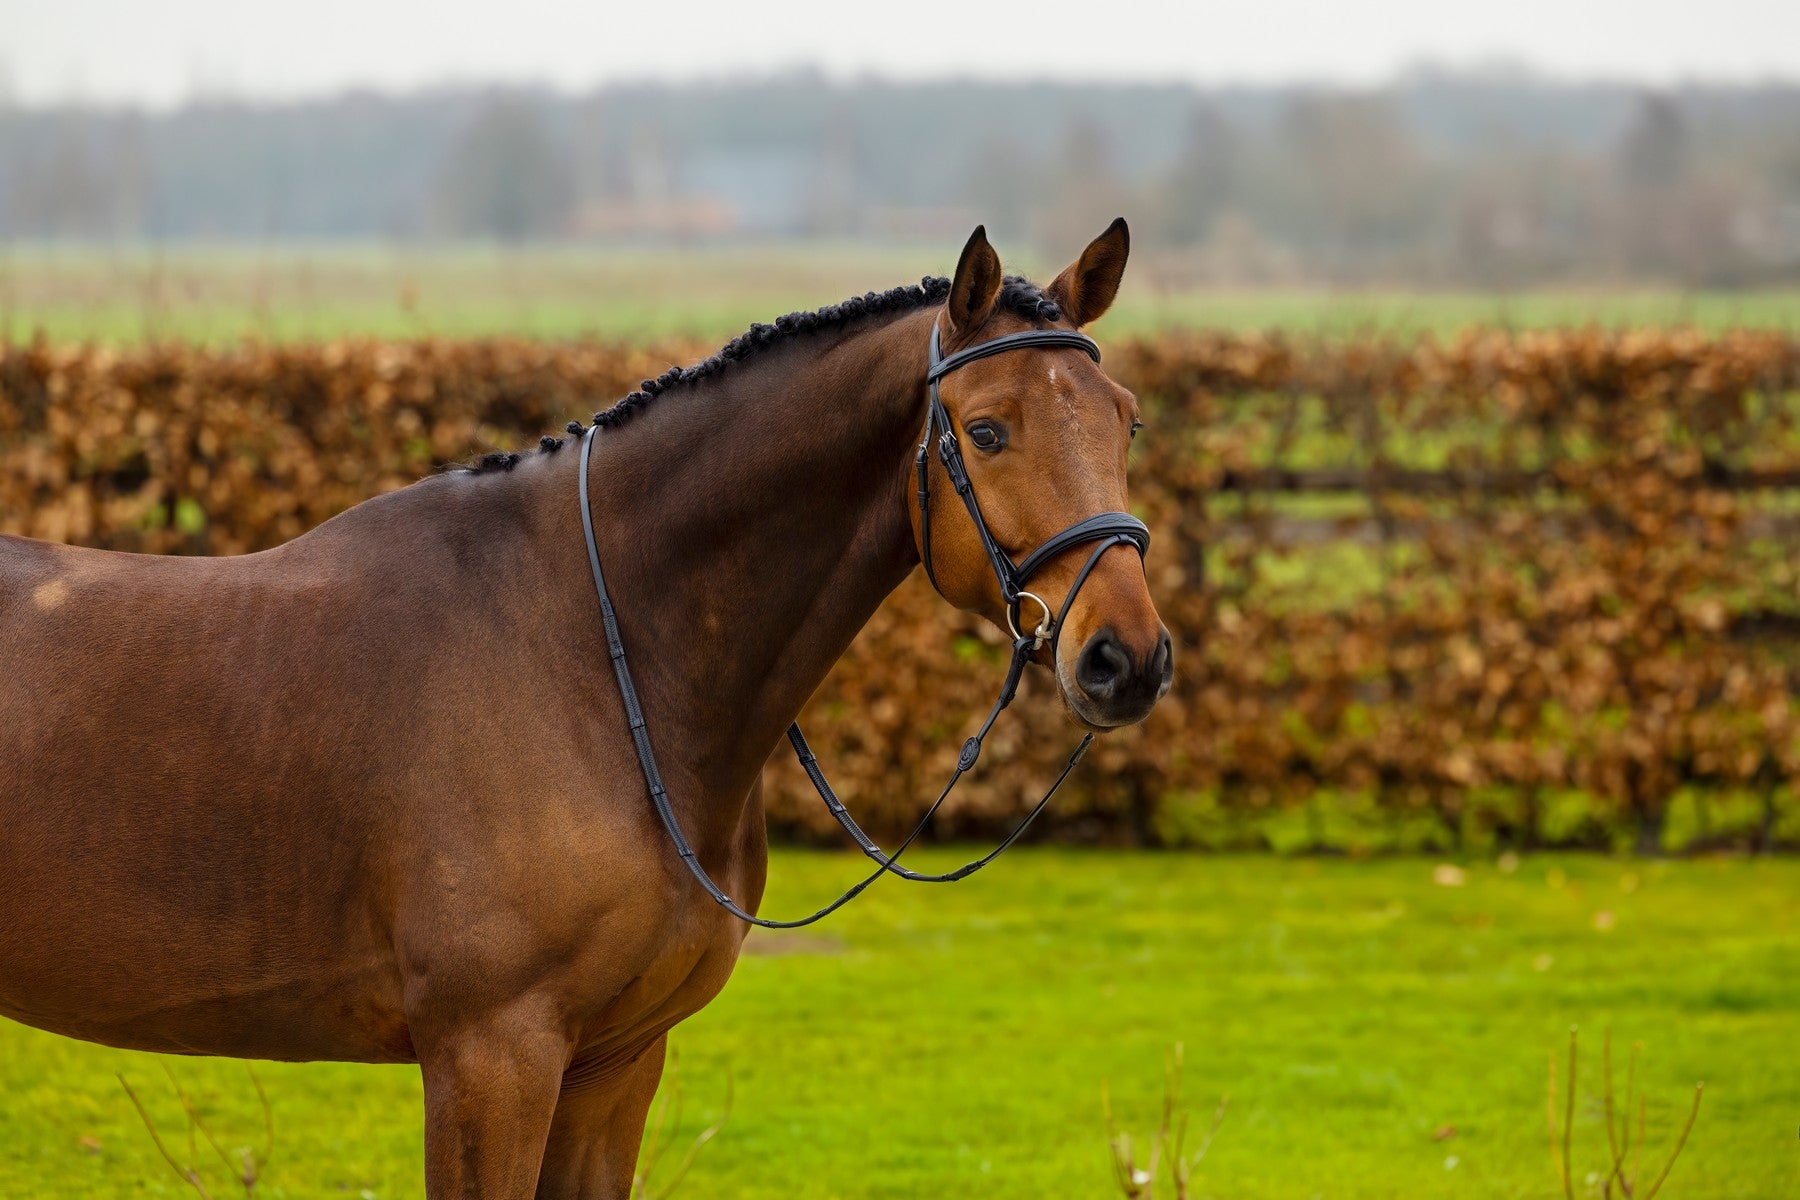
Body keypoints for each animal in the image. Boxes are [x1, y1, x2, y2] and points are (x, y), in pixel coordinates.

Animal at [0, 220, 1166, 1194]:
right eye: (990, 430)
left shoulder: (616, 1059)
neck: (591, 660)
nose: (1128, 658)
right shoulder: (490, 1055)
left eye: (1124, 421)